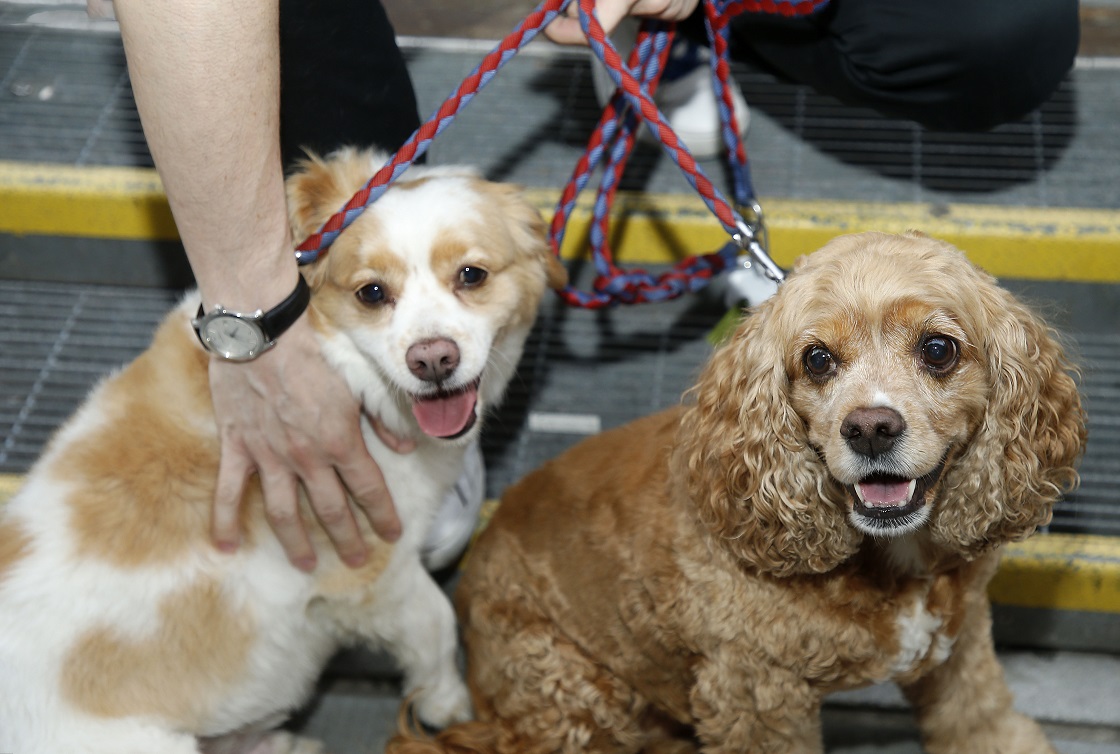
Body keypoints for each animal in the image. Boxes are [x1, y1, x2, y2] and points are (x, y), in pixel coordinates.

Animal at [0, 149, 564, 752]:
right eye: (371, 293)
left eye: (471, 275)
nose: (433, 359)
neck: (345, 374)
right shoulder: (375, 569)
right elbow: (435, 626)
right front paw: (446, 703)